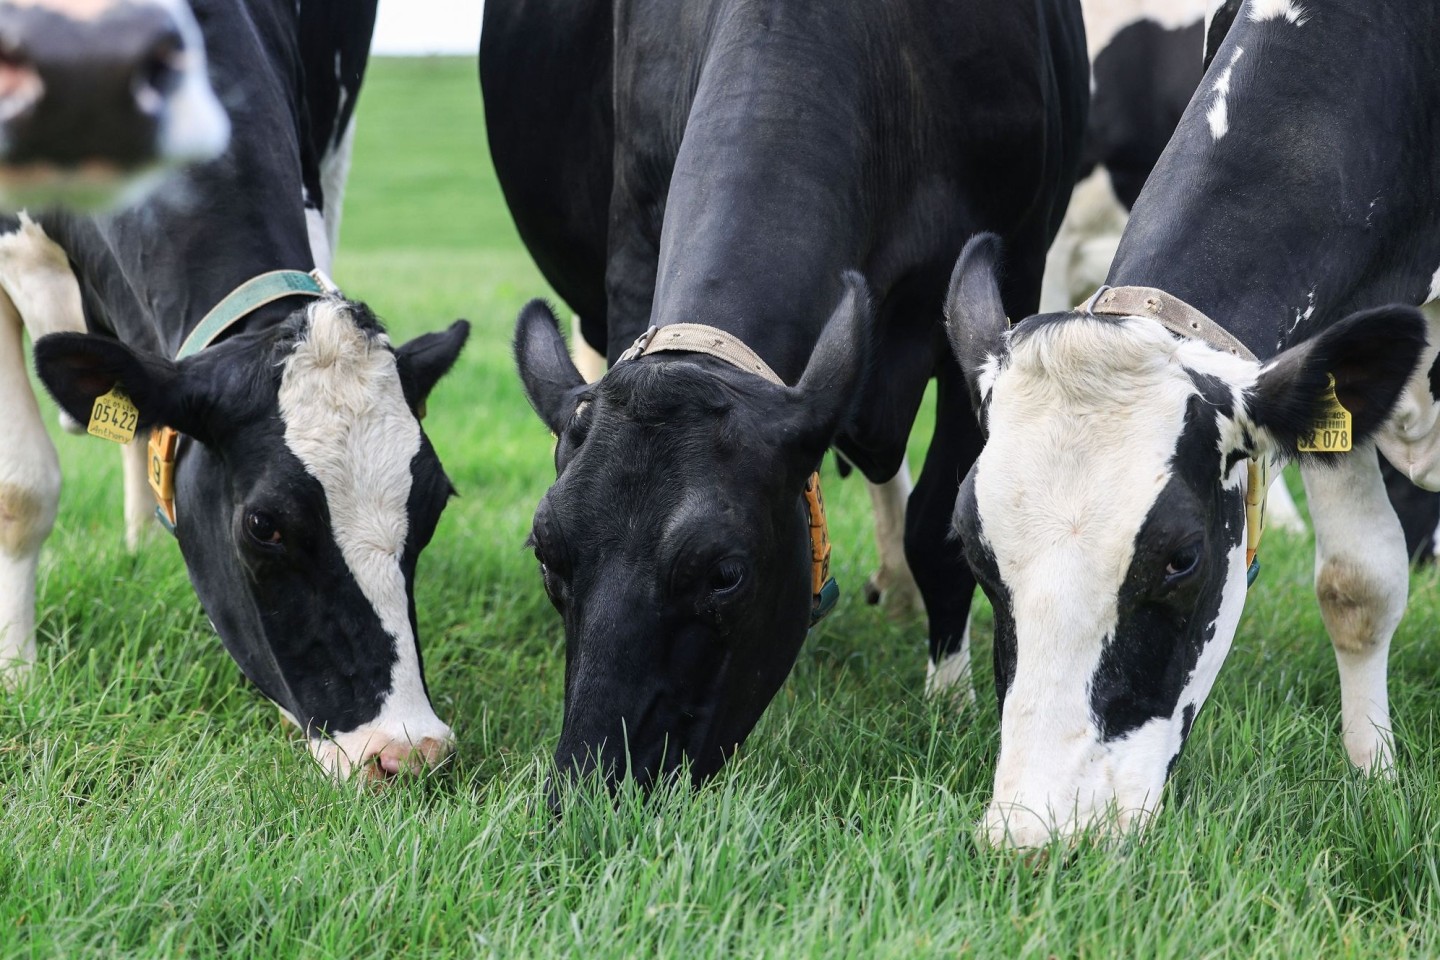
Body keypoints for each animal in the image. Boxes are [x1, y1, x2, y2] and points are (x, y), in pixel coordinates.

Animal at [483, 0, 1082, 794]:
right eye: (548, 558)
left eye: (725, 574)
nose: (590, 784)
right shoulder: (633, 237)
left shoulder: (1008, 275)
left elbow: (942, 527)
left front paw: (952, 701)